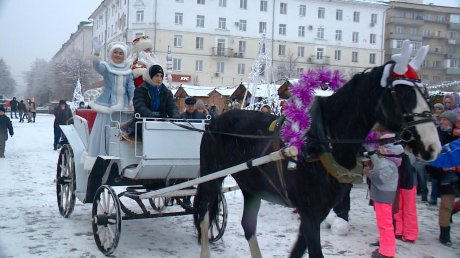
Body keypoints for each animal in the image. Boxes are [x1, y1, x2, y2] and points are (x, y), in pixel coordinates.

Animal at [193, 42, 442, 258]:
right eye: (402, 94)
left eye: (425, 93)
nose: (433, 147)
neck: (322, 143)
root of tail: (214, 121)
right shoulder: (310, 214)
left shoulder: (317, 213)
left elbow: (298, 251)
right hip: (211, 176)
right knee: (204, 215)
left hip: (251, 185)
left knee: (247, 224)